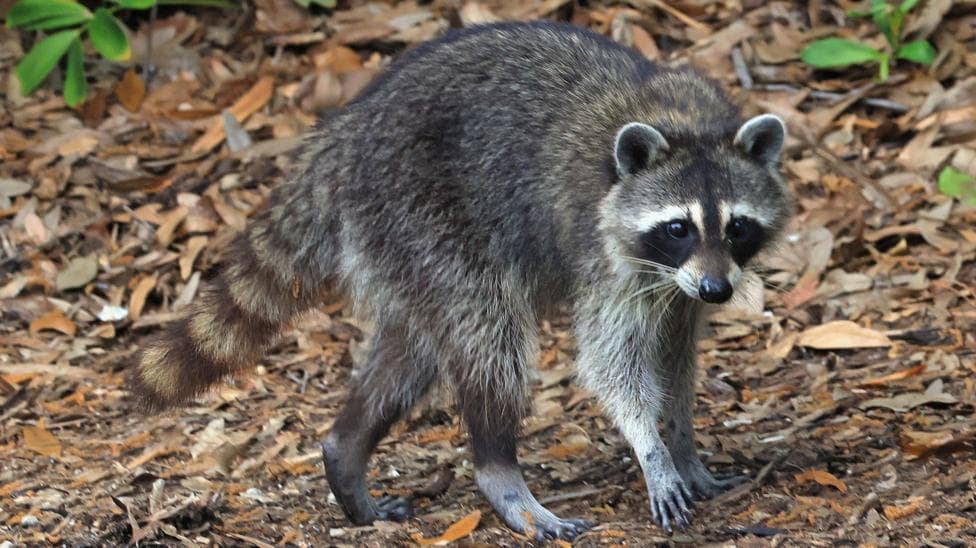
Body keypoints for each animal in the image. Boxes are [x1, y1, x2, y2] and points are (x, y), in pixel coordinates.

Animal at [132, 21, 791, 540]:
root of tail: (343, 136)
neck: (683, 123)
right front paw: (650, 448)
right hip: (423, 212)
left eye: (736, 227)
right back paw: (500, 474)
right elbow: (612, 363)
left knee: (414, 351)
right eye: (678, 227)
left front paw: (682, 441)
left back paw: (346, 452)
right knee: (489, 339)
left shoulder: (680, 288)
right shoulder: (606, 258)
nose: (718, 291)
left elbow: (676, 356)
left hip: (398, 243)